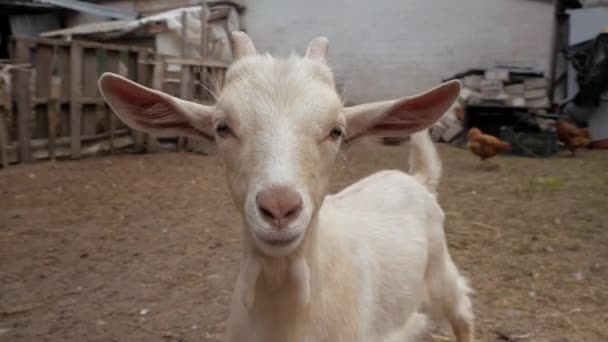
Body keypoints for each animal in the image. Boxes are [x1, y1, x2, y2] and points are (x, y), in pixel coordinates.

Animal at [97, 30, 476, 340]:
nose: (279, 208)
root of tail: (417, 179)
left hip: (441, 274)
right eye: (222, 127)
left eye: (336, 131)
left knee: (462, 314)